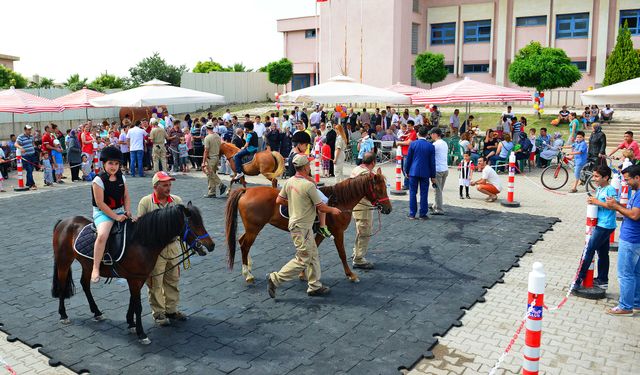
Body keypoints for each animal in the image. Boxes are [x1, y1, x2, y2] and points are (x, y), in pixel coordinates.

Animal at [51, 204, 214, 346]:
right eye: (193, 225)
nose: (211, 245)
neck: (141, 241)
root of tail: (64, 222)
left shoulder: (138, 278)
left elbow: (132, 302)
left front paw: (131, 323)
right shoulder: (134, 279)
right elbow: (138, 306)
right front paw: (141, 334)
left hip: (87, 265)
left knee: (85, 284)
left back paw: (97, 312)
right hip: (64, 261)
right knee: (62, 284)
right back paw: (63, 315)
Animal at [225, 169, 390, 284]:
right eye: (379, 190)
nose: (388, 209)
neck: (339, 202)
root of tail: (246, 190)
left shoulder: (321, 233)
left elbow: (311, 250)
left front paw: (302, 273)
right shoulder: (338, 232)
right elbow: (342, 254)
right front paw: (351, 275)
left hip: (251, 228)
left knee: (242, 242)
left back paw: (248, 267)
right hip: (254, 228)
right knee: (245, 245)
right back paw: (248, 275)